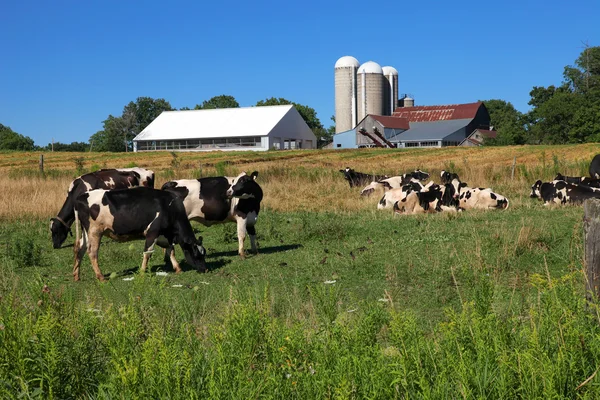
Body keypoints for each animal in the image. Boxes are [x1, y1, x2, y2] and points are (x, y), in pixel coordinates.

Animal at [71, 188, 204, 282]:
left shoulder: (164, 235)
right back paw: (101, 276)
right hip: (95, 231)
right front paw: (142, 272)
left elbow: (171, 251)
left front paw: (178, 268)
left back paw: (76, 275)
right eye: (196, 254)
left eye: (204, 253)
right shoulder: (152, 232)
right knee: (92, 252)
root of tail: (80, 197)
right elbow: (147, 253)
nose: (205, 269)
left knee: (80, 249)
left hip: (86, 232)